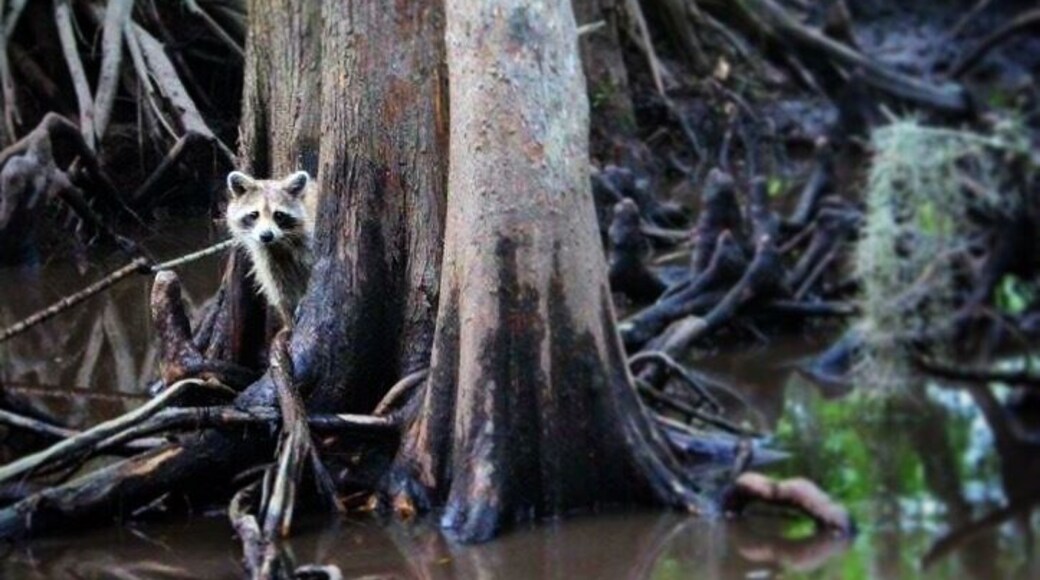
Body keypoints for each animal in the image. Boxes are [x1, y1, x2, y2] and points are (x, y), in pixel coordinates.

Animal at [225, 170, 316, 325]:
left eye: (278, 215)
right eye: (254, 215)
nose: (266, 235)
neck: (277, 244)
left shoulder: (308, 241)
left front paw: (302, 299)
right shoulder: (267, 260)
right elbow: (281, 292)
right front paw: (290, 315)